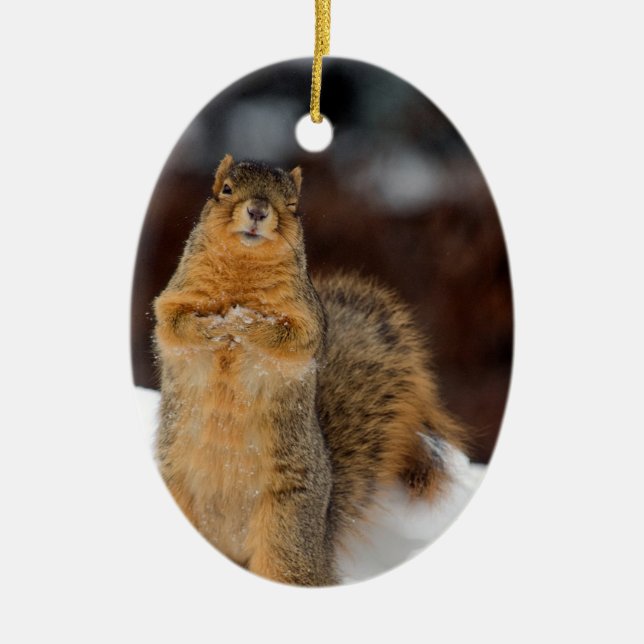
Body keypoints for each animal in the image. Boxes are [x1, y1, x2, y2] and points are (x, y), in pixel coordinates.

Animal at [153, 155, 468, 586]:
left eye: (293, 205)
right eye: (226, 190)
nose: (258, 211)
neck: (242, 273)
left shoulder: (307, 318)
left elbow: (291, 338)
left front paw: (247, 324)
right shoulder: (174, 297)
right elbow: (173, 325)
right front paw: (215, 326)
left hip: (287, 530)